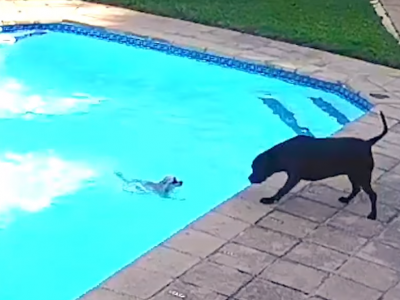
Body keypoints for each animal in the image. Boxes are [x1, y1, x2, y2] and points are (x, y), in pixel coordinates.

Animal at [248, 111, 390, 219]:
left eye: (256, 167)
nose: (249, 178)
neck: (284, 153)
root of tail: (367, 143)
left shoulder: (293, 177)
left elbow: (282, 189)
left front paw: (270, 200)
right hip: (353, 174)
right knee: (356, 189)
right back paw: (346, 199)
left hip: (362, 176)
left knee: (372, 194)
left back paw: (372, 215)